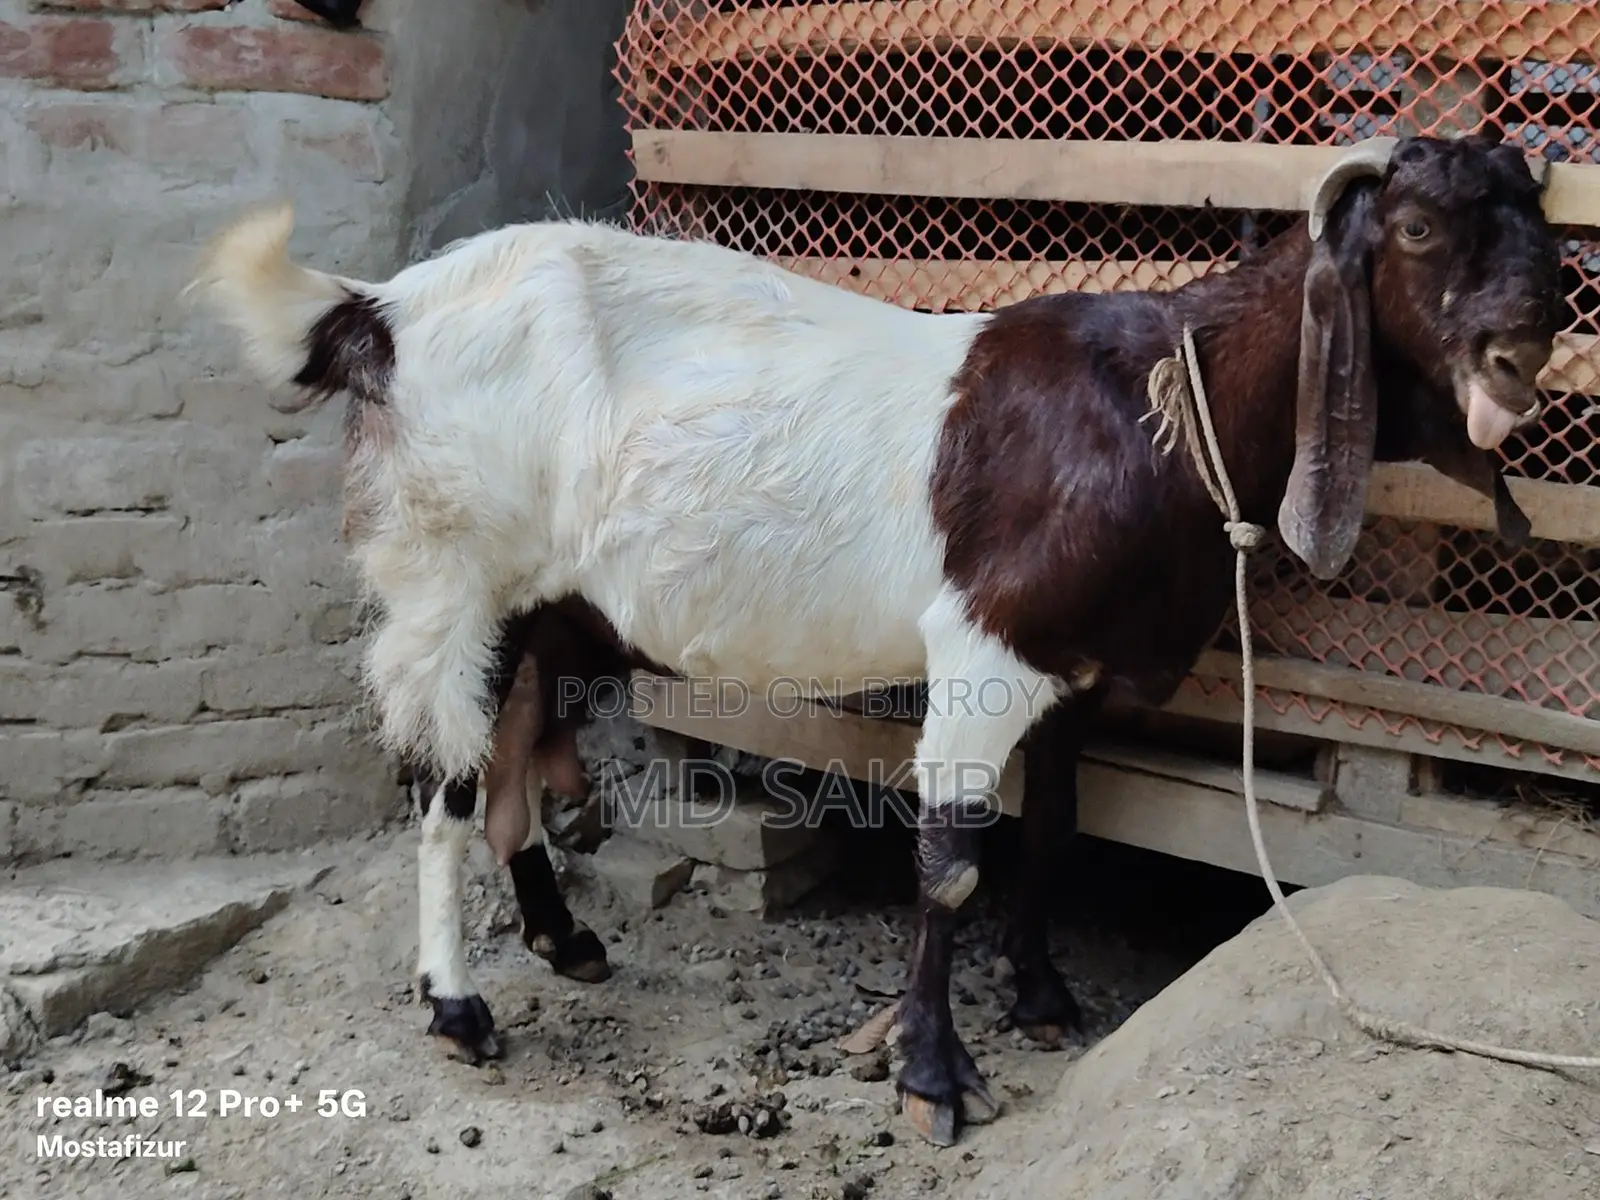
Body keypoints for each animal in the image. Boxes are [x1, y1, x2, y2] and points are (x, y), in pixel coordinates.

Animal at [188, 132, 1563, 1146]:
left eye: (1543, 230)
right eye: (1420, 230)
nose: (1525, 349)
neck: (1162, 404)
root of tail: (376, 313)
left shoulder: (1067, 667)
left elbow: (1053, 830)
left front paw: (1043, 996)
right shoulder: (983, 647)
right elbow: (950, 863)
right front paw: (932, 1075)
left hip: (552, 602)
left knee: (517, 755)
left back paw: (563, 936)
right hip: (446, 574)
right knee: (443, 782)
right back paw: (457, 1006)